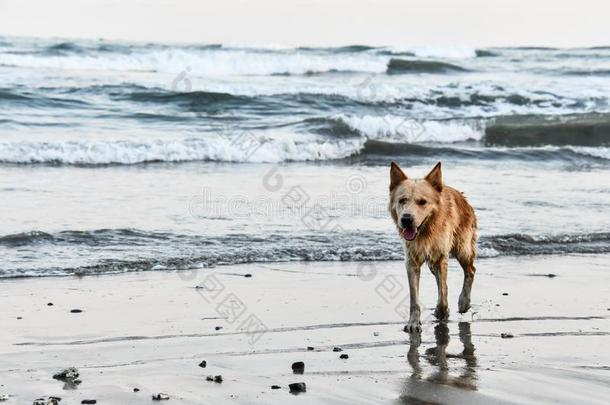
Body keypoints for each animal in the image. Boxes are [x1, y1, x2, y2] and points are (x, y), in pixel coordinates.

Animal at [390, 161, 476, 332]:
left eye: (422, 202)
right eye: (402, 200)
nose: (406, 219)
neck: (425, 232)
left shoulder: (441, 257)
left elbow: (443, 293)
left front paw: (443, 311)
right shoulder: (411, 261)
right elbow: (415, 299)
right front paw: (413, 322)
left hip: (462, 248)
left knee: (470, 271)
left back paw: (464, 302)